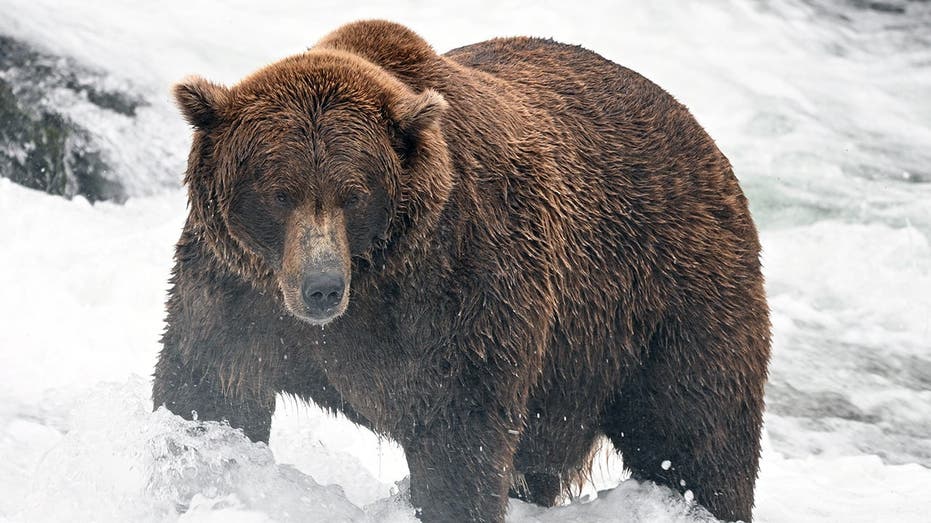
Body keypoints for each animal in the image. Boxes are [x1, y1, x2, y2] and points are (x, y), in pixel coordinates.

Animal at [153, 20, 771, 523]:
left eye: (354, 194)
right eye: (279, 192)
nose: (321, 289)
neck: (375, 278)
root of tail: (704, 140)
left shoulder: (460, 290)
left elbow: (458, 438)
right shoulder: (236, 290)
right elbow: (209, 390)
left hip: (665, 304)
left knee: (697, 439)